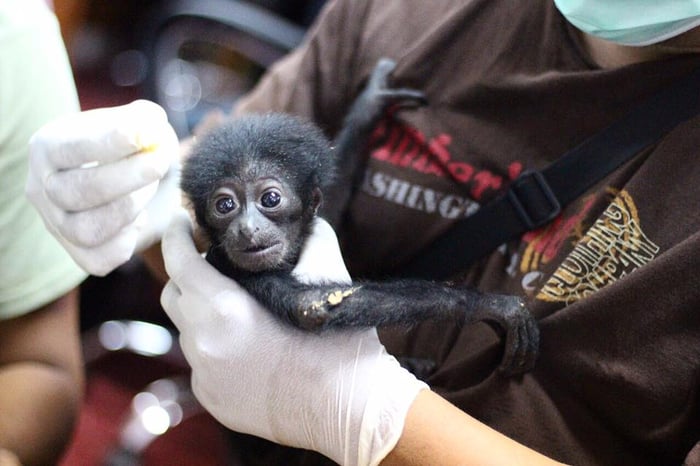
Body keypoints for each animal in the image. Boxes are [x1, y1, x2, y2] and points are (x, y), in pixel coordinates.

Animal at [179, 58, 536, 374]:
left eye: (271, 199)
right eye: (225, 206)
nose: (247, 228)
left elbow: (329, 211)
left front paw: (370, 105)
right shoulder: (234, 267)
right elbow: (312, 305)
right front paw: (491, 306)